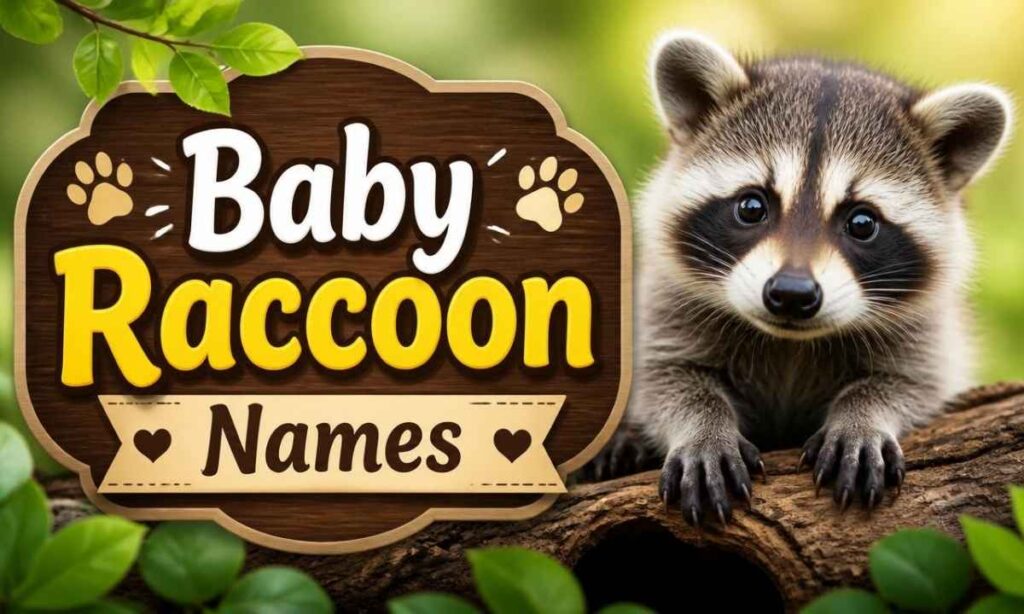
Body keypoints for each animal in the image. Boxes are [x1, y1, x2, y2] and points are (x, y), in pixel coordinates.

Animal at [602, 31, 1012, 525]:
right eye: (751, 206)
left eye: (862, 223)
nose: (792, 294)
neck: (792, 342)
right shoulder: (662, 301)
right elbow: (663, 376)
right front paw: (703, 426)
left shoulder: (931, 331)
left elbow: (915, 382)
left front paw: (863, 414)